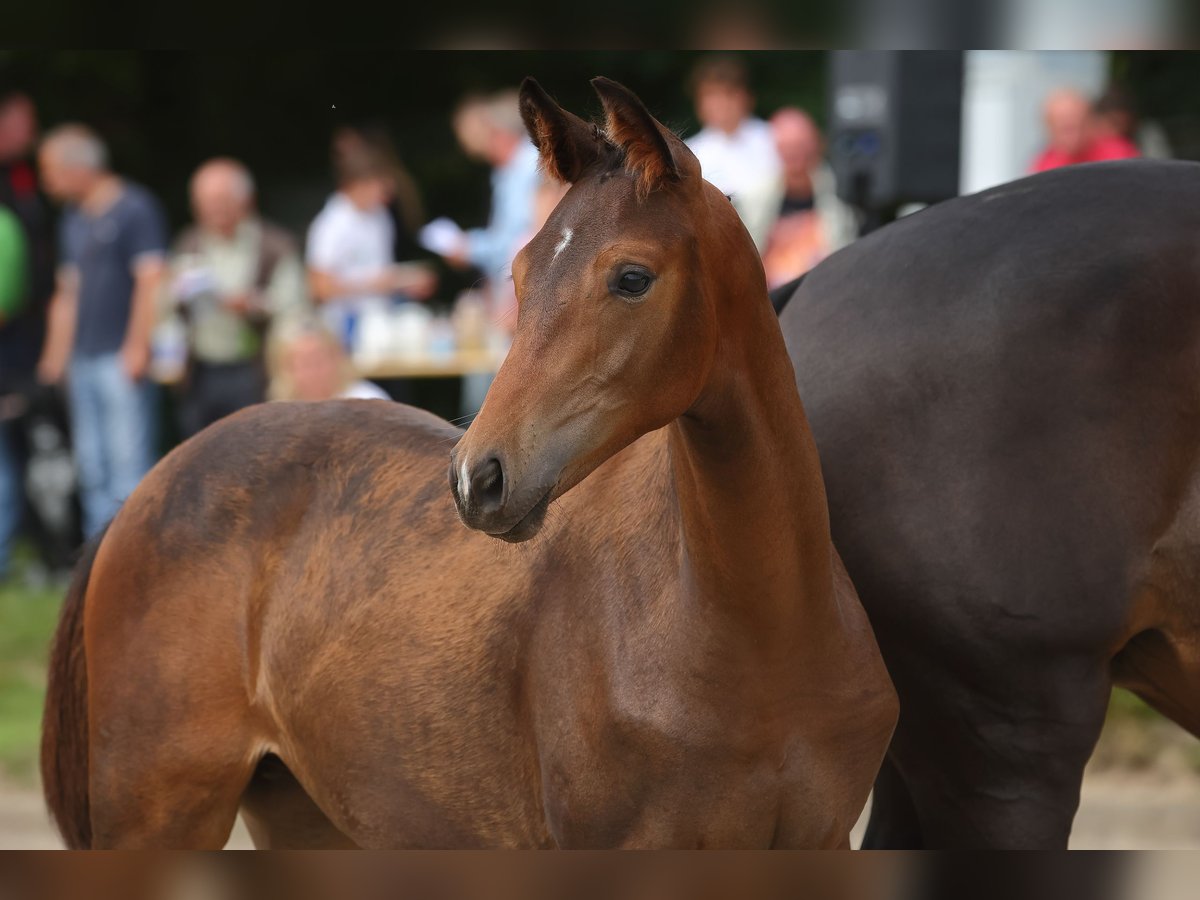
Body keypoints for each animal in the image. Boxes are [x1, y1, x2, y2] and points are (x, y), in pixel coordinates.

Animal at [42, 79, 897, 854]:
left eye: (631, 277)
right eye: (517, 276)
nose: (478, 479)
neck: (753, 631)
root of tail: (144, 492)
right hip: (157, 818)